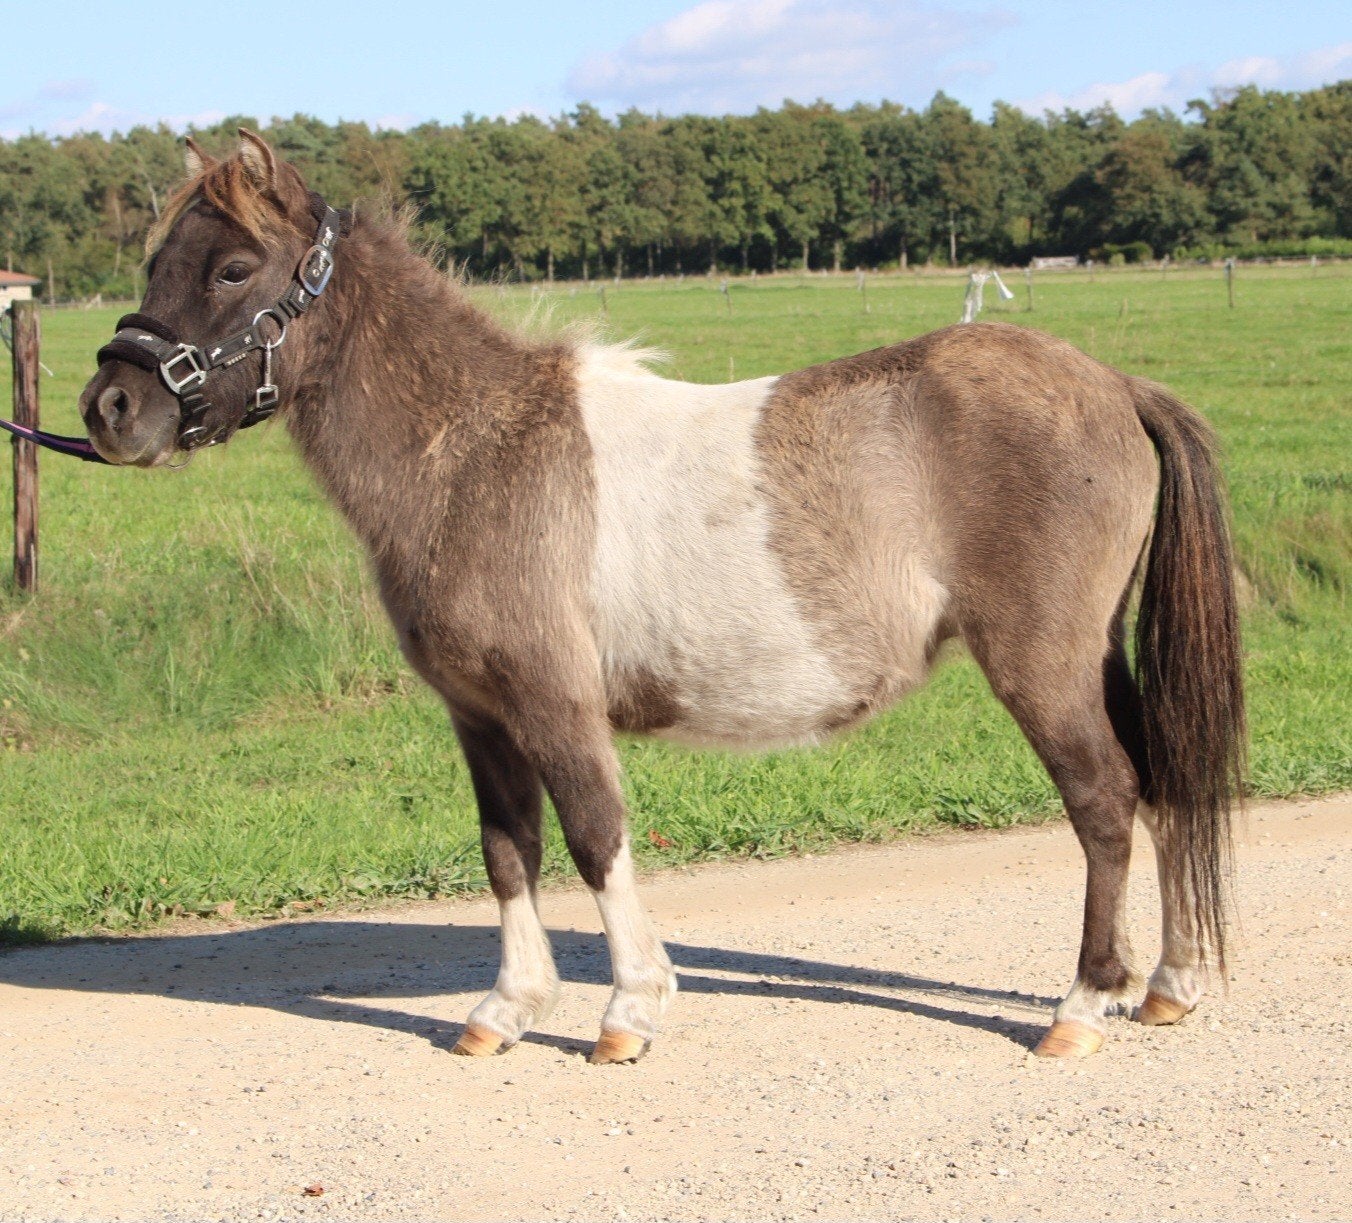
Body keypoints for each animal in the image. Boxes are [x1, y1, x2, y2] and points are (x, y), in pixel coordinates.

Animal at [79, 131, 1244, 1064]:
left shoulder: (554, 703)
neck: (476, 449)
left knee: (1103, 801)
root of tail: (1112, 386)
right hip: (1096, 653)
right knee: (1161, 783)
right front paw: (505, 1009)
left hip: (1041, 663)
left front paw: (628, 1009)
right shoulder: (479, 716)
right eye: (155, 260)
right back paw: (1168, 986)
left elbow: (595, 834)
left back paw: (1080, 1004)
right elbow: (508, 849)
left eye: (233, 266)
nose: (111, 407)